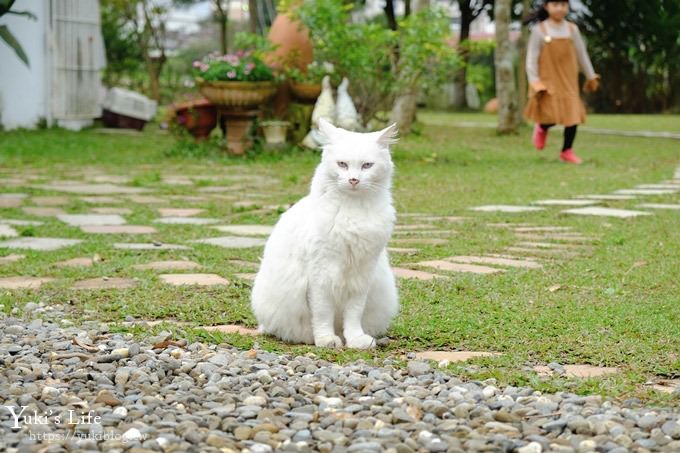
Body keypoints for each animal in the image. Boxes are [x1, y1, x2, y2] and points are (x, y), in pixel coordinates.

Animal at [250, 118, 398, 348]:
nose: (353, 180)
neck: (352, 210)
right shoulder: (321, 274)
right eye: (342, 164)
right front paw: (326, 339)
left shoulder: (362, 274)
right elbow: (322, 313)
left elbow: (354, 314)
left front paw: (355, 340)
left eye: (367, 165)